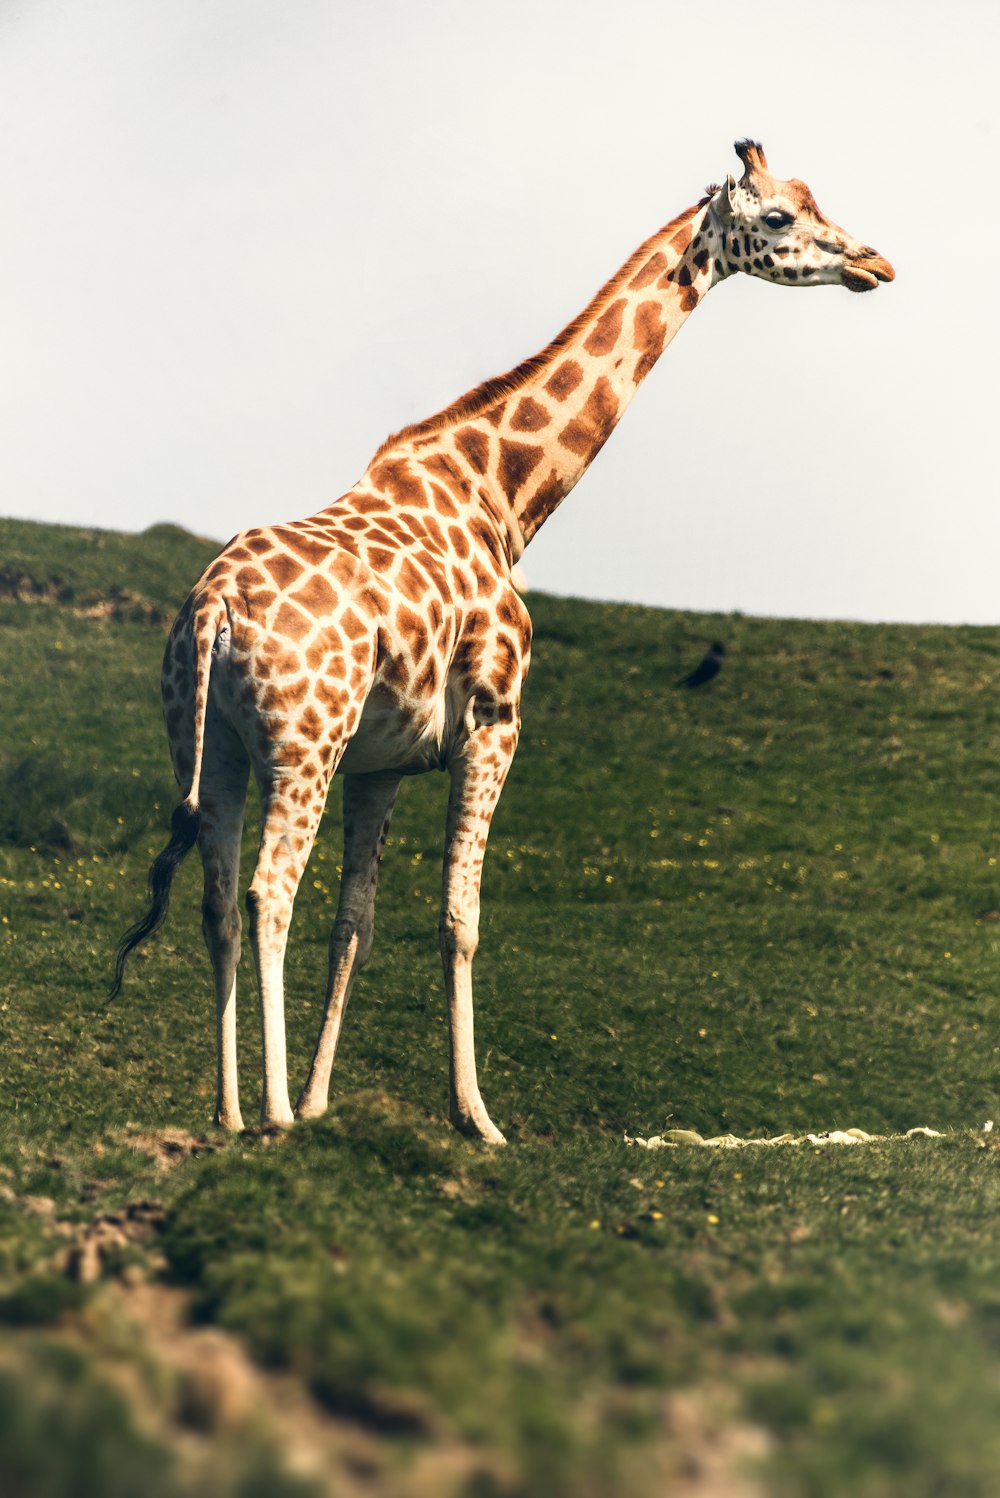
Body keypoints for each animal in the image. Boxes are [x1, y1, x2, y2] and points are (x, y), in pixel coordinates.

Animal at [113, 146, 892, 1138]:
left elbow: (357, 923)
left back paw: (231, 1115)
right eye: (784, 217)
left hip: (210, 747)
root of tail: (213, 608)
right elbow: (460, 918)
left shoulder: (381, 762)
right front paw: (474, 1117)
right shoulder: (495, 722)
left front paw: (329, 1104)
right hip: (302, 744)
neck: (502, 499)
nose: (875, 263)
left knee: (217, 899)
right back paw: (274, 1112)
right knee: (265, 893)